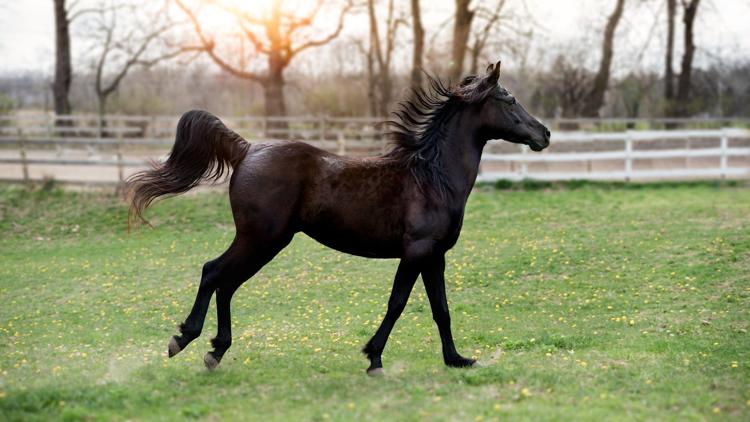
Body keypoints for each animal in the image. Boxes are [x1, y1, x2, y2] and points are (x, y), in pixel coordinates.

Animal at [128, 61, 552, 374]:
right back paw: (184, 340)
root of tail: (247, 149)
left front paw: (457, 360)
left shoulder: (436, 256)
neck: (433, 178)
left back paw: (215, 351)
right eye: (510, 99)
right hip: (261, 238)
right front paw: (374, 358)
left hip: (262, 241)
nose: (544, 134)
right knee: (213, 272)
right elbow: (397, 303)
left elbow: (441, 309)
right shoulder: (416, 251)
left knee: (226, 283)